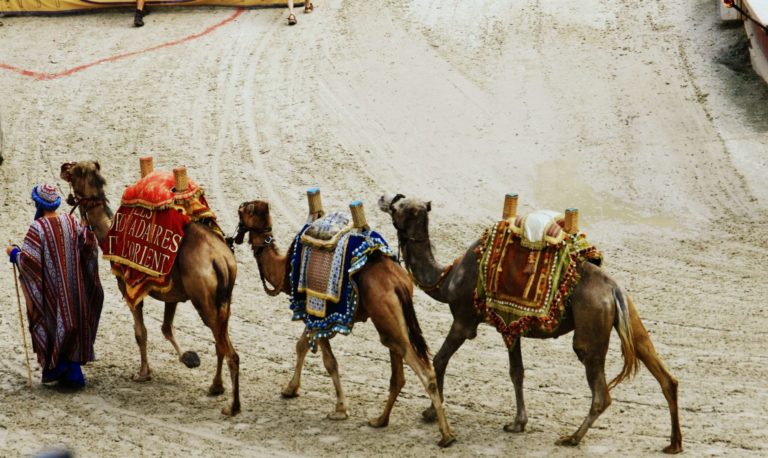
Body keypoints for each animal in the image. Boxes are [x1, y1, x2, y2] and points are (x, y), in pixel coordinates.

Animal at [60, 160, 240, 416]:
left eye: (75, 171)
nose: (63, 167)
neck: (108, 233)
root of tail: (221, 260)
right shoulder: (171, 294)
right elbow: (166, 327)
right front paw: (188, 358)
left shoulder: (129, 288)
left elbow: (140, 333)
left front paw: (143, 373)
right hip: (223, 301)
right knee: (220, 344)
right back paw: (216, 387)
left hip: (204, 301)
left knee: (228, 350)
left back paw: (232, 406)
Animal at [230, 200, 456, 448]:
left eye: (244, 209)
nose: (240, 207)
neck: (286, 267)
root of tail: (398, 282)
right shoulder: (313, 314)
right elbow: (302, 346)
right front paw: (290, 389)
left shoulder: (317, 312)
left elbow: (328, 361)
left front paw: (339, 409)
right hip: (391, 322)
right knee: (398, 373)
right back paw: (380, 420)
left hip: (386, 319)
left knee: (423, 371)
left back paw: (446, 436)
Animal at [378, 192, 684, 454]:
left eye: (400, 204)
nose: (382, 198)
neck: (447, 279)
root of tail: (613, 288)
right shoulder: (510, 326)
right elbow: (517, 372)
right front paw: (518, 423)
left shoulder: (465, 320)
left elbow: (439, 359)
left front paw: (430, 413)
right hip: (630, 318)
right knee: (665, 375)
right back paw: (674, 443)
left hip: (590, 330)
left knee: (601, 392)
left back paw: (572, 438)